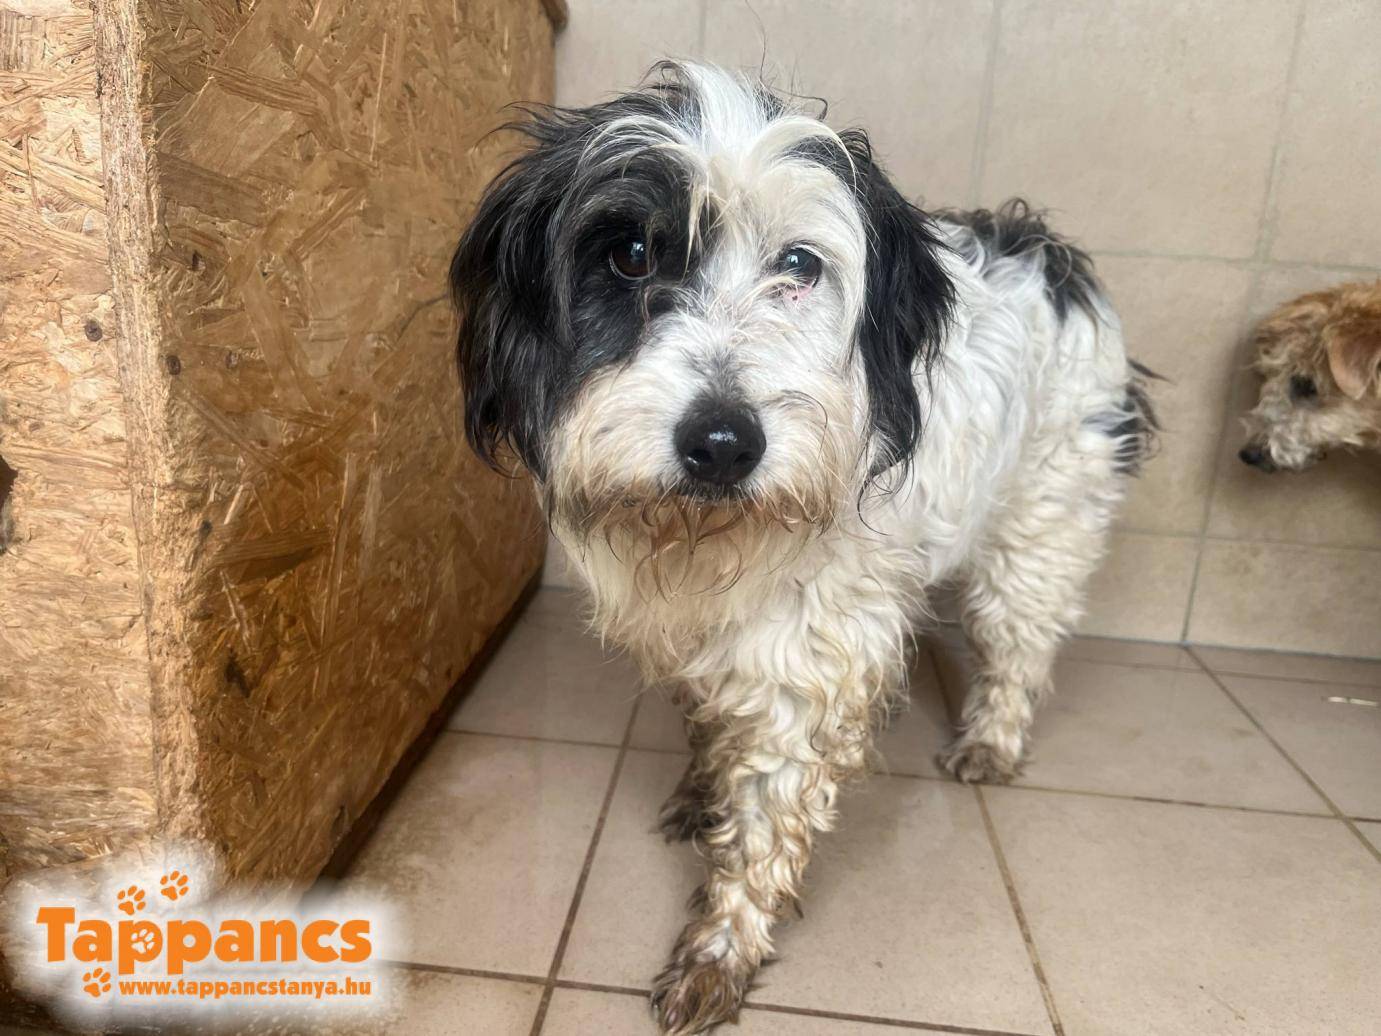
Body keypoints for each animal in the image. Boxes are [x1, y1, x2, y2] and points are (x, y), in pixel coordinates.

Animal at [450, 63, 1156, 1035]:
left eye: (799, 265)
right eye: (630, 255)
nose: (721, 444)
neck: (713, 542)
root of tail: (1050, 251)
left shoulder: (806, 659)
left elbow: (765, 819)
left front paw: (720, 950)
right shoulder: (699, 636)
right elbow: (712, 724)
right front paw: (700, 792)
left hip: (1039, 529)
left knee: (1020, 646)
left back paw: (990, 741)